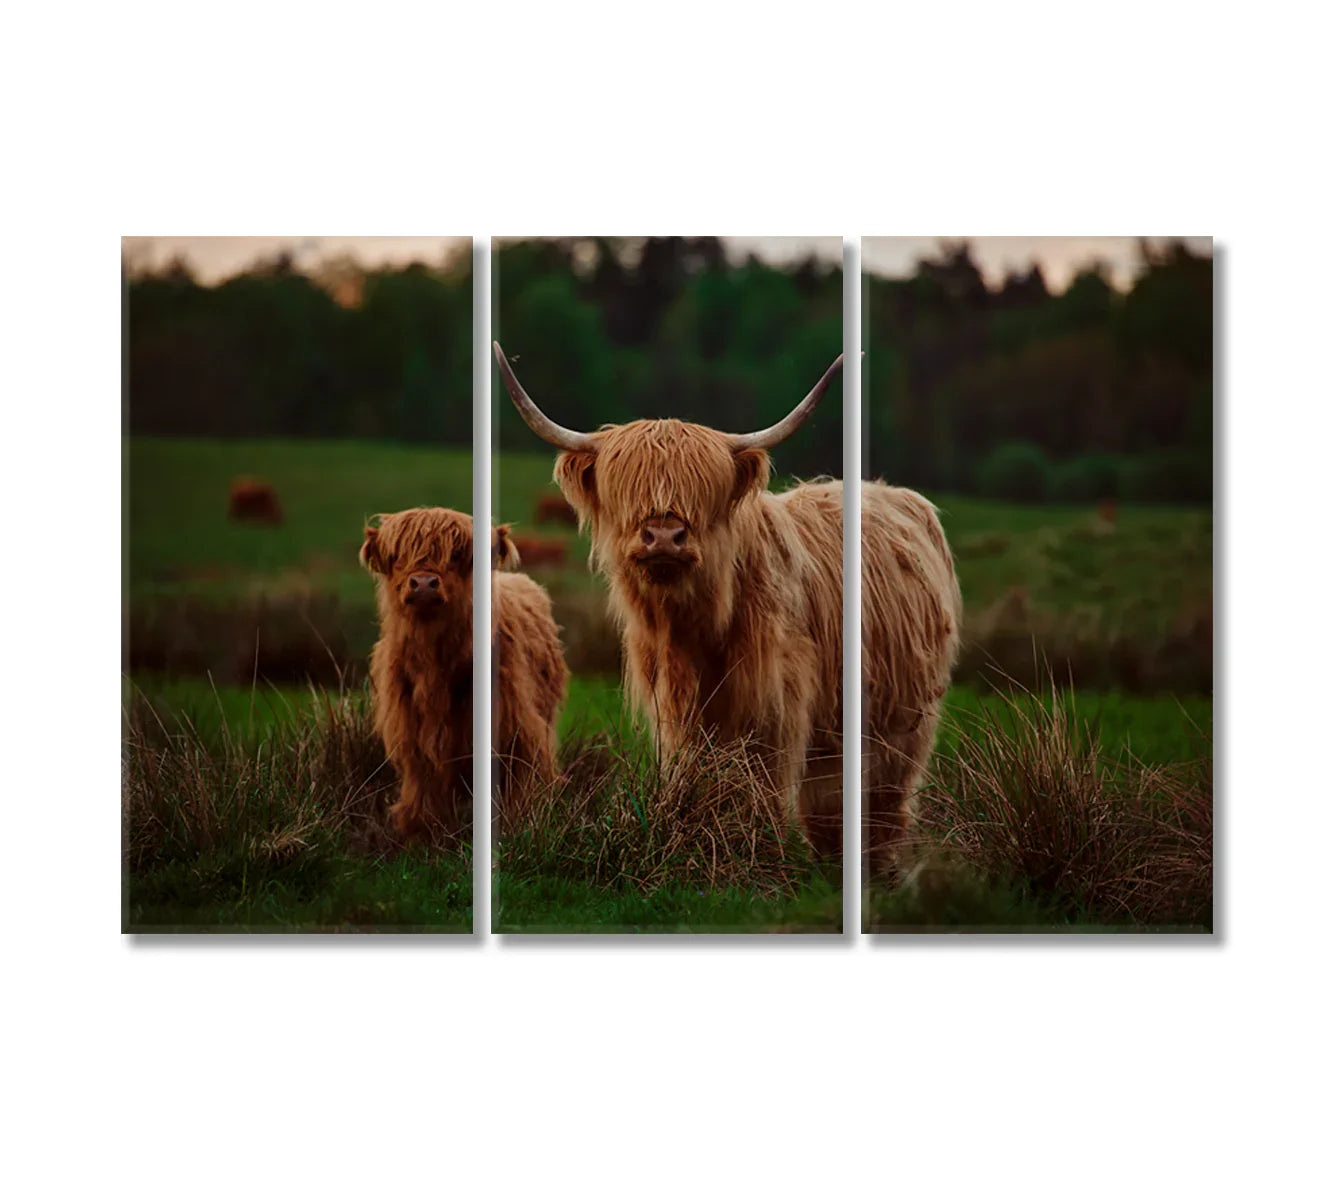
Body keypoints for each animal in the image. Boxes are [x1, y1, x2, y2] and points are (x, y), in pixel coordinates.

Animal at [360, 506, 567, 839]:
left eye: (456, 555)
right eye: (397, 556)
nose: (423, 583)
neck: (435, 665)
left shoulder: (516, 729)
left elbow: (522, 778)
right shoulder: (412, 733)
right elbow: (424, 788)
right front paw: (422, 832)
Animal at [494, 341, 960, 871]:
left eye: (704, 491)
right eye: (629, 490)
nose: (664, 536)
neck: (697, 631)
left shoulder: (774, 708)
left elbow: (760, 783)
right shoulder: (675, 709)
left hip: (902, 719)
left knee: (882, 798)